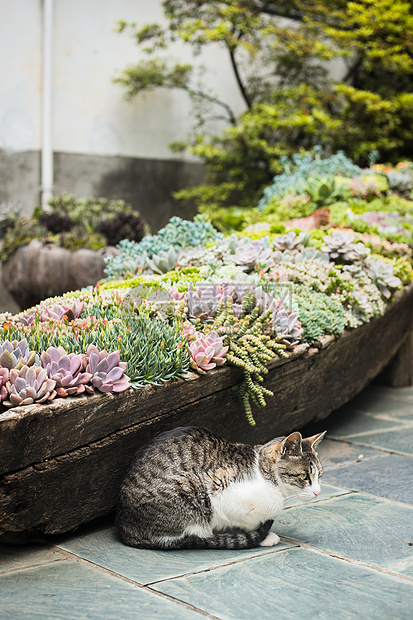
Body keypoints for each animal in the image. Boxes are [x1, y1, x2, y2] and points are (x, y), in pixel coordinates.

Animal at [116, 424, 326, 548]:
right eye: (304, 476)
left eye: (320, 475)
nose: (318, 492)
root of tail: (126, 529)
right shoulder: (220, 489)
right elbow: (244, 522)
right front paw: (261, 536)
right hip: (190, 485)